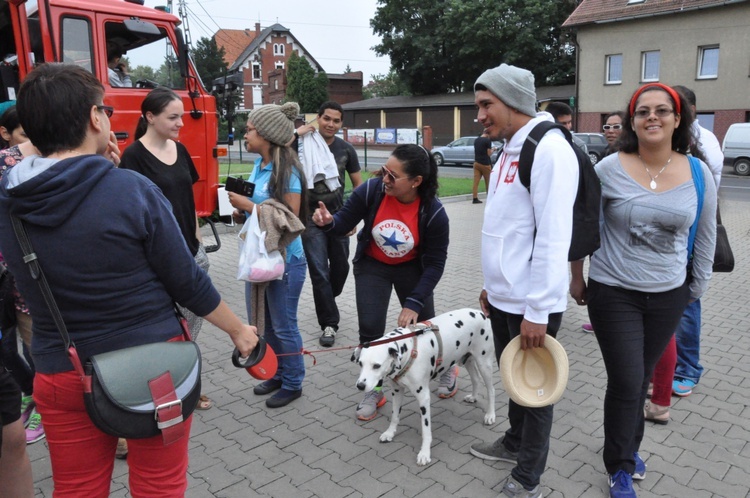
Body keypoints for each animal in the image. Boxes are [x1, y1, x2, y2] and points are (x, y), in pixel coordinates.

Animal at [354, 308, 496, 466]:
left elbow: (426, 430)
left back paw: (490, 415)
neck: (408, 349)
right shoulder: (396, 391)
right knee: (476, 379)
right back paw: (473, 397)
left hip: (484, 363)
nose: (360, 386)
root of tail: (479, 312)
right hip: (468, 360)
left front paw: (424, 453)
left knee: (491, 389)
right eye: (360, 363)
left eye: (376, 366)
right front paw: (390, 433)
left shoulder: (423, 398)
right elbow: (395, 416)